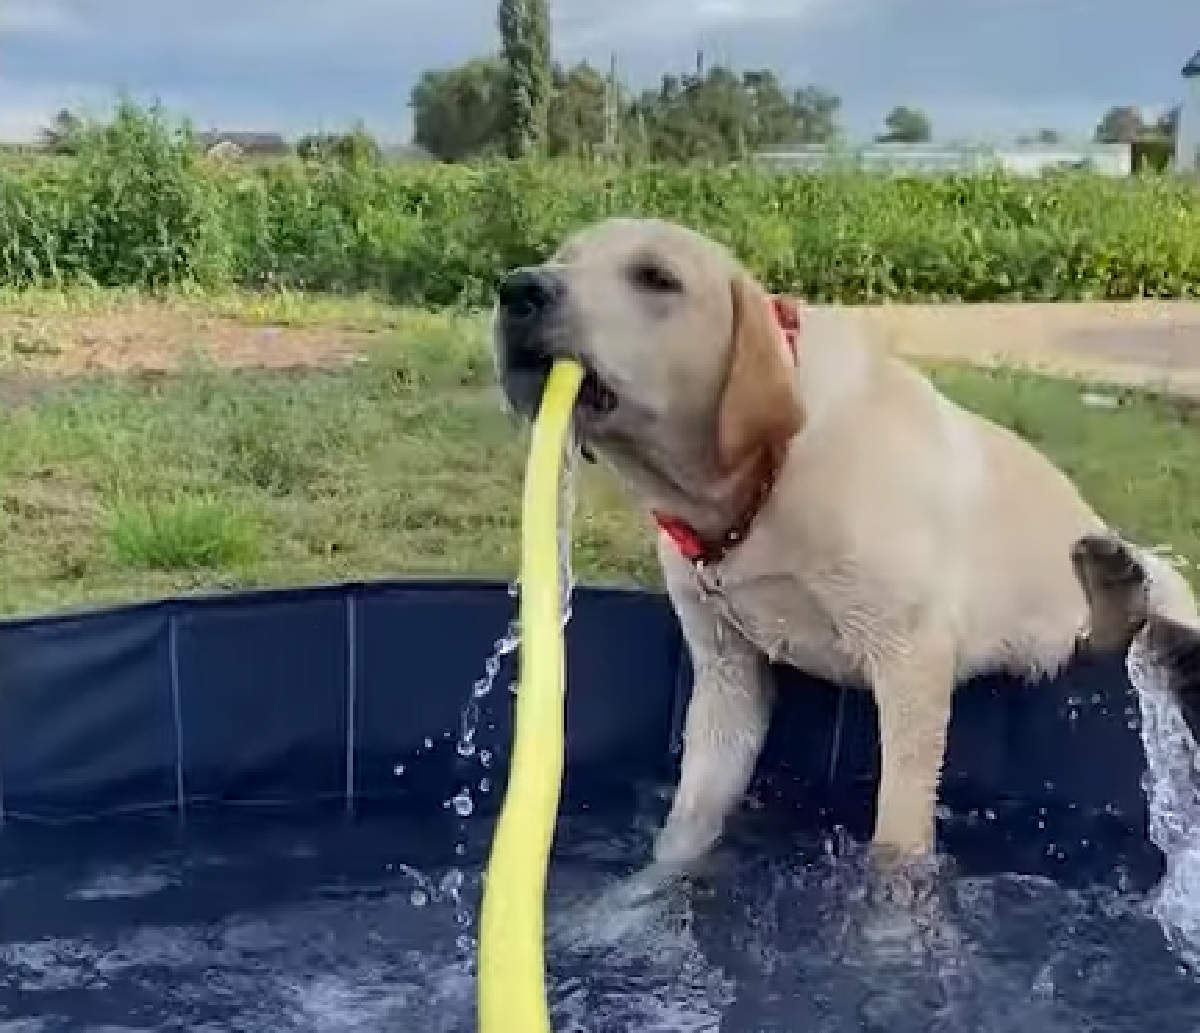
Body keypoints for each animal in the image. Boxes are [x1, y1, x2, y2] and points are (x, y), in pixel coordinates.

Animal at [492, 217, 1195, 868]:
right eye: (561, 257)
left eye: (655, 278)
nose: (518, 289)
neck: (758, 483)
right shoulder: (725, 676)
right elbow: (689, 821)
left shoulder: (911, 660)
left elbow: (898, 833)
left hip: (1160, 587)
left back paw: (1117, 580)